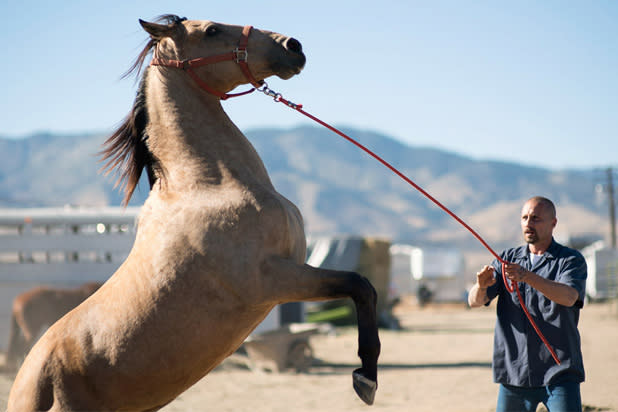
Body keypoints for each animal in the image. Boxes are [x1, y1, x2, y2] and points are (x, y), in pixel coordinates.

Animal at [7, 16, 378, 412]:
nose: (293, 46)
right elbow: (359, 285)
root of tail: (25, 387)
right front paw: (365, 378)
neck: (207, 185)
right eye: (212, 29)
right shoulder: (271, 279)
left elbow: (362, 288)